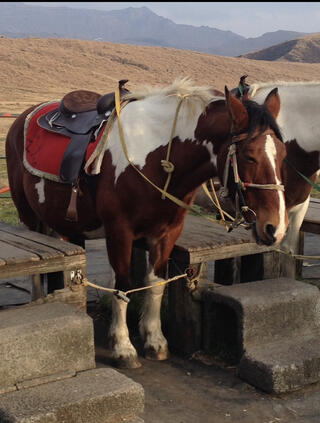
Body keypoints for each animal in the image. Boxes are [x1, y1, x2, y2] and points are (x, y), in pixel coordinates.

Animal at [5, 78, 288, 368]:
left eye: (283, 154)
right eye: (250, 156)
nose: (275, 228)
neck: (156, 156)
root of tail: (24, 117)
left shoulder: (166, 233)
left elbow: (155, 284)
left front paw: (154, 340)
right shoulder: (120, 232)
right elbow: (123, 285)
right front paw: (123, 347)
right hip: (28, 215)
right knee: (37, 275)